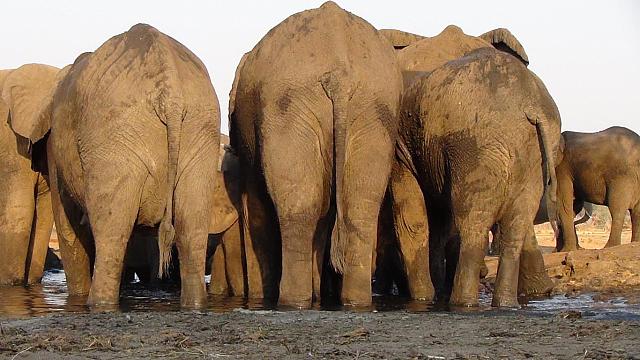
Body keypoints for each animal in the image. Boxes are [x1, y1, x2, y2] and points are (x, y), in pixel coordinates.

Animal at [229, 1, 400, 308]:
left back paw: (291, 302)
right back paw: (354, 302)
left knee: (298, 210)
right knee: (360, 209)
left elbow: (256, 210)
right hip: (375, 110)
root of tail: (340, 75)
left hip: (289, 109)